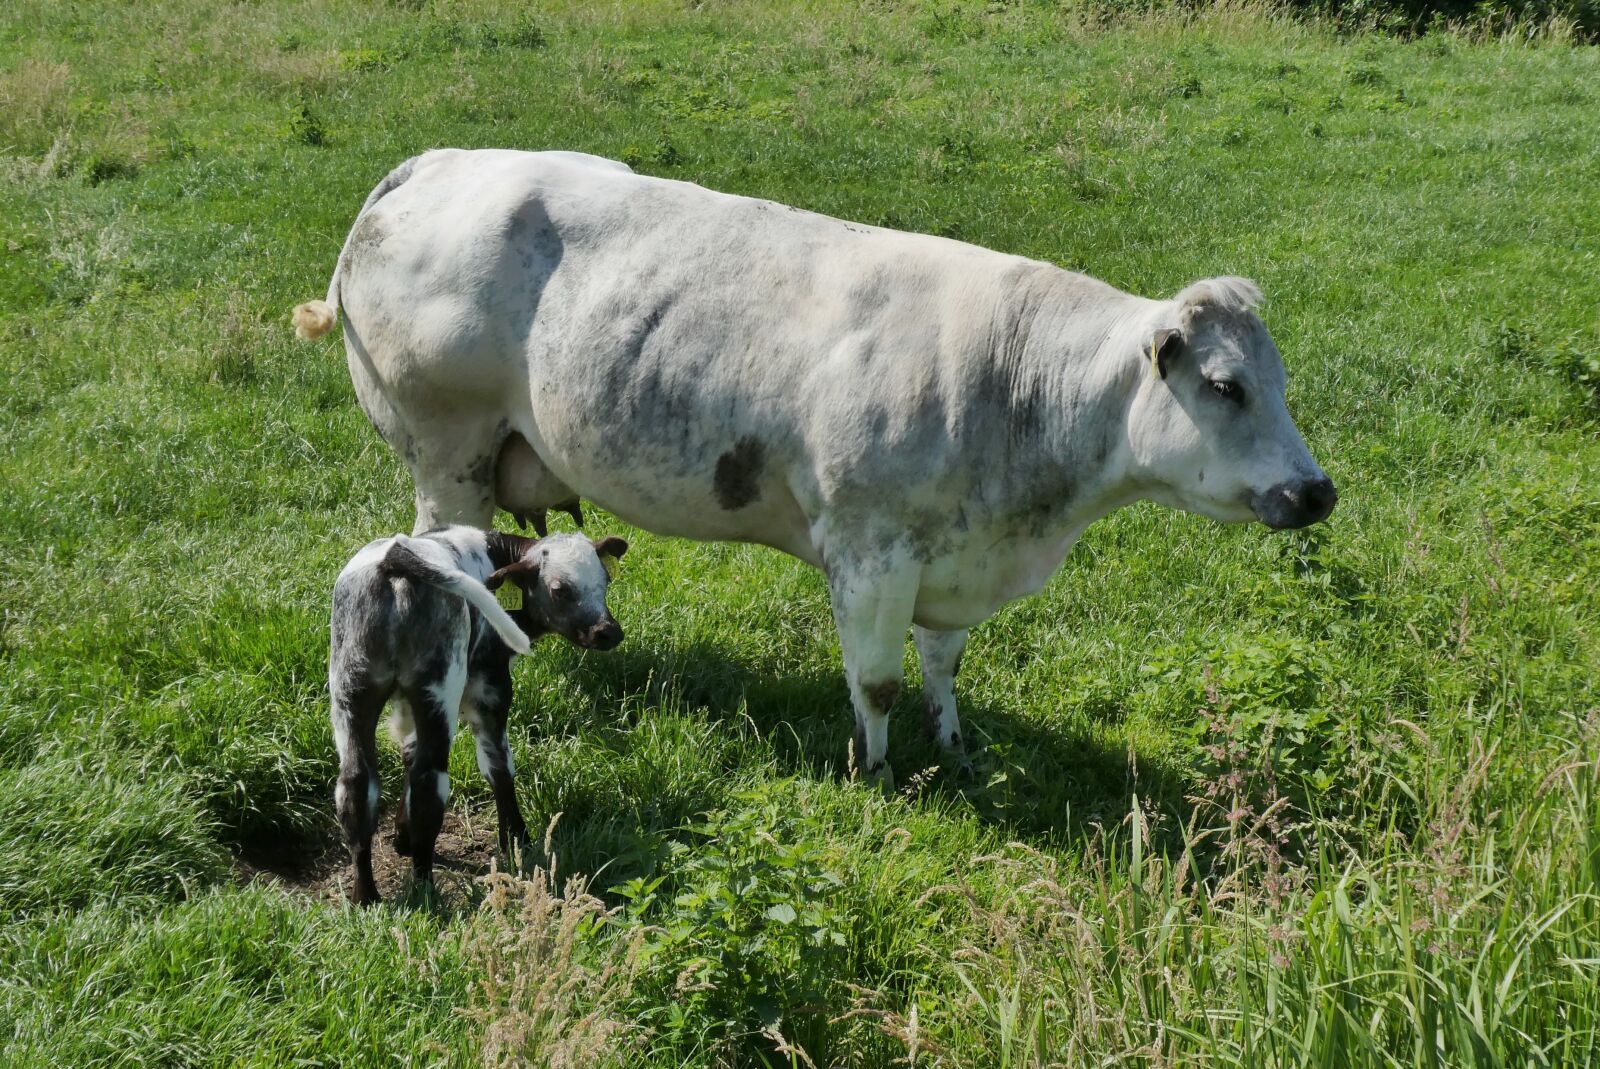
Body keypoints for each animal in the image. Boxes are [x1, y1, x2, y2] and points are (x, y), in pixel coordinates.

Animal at [294, 148, 1336, 784]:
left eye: (1281, 380)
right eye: (1225, 384)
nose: (1316, 490)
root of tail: (438, 163)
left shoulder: (953, 560)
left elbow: (943, 663)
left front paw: (955, 745)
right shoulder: (868, 552)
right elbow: (875, 682)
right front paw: (878, 773)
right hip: (449, 453)